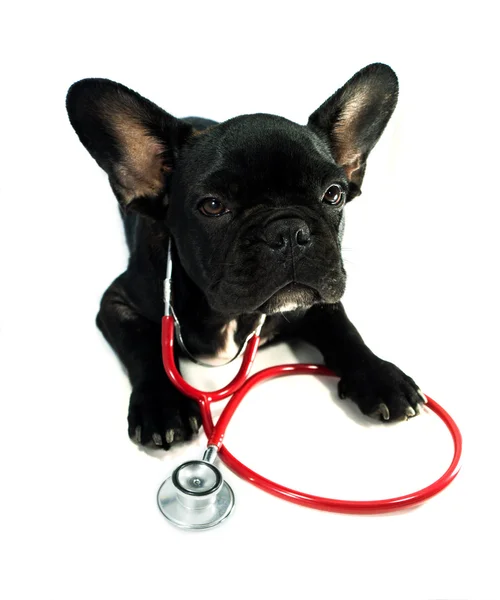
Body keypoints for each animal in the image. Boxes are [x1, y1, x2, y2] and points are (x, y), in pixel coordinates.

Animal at [66, 63, 426, 448]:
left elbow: (345, 330)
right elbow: (143, 344)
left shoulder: (320, 302)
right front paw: (163, 404)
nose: (289, 232)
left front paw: (380, 377)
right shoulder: (117, 302)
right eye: (212, 206)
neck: (231, 316)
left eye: (333, 194)